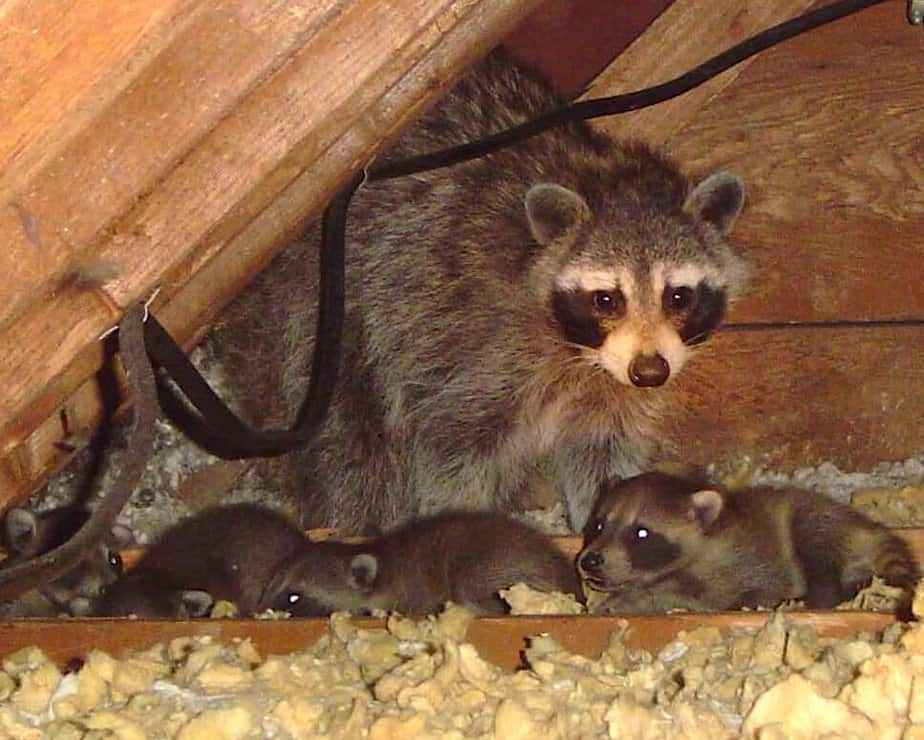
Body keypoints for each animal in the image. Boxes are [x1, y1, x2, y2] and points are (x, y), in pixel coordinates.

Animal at [204, 48, 749, 533]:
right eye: (606, 299)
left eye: (677, 296)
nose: (650, 372)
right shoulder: (468, 336)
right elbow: (452, 442)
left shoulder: (612, 388)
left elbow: (602, 448)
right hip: (324, 317)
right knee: (353, 438)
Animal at [577, 472, 919, 613]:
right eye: (598, 525)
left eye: (641, 533)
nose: (588, 560)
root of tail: (867, 526)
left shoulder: (746, 561)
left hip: (815, 522)